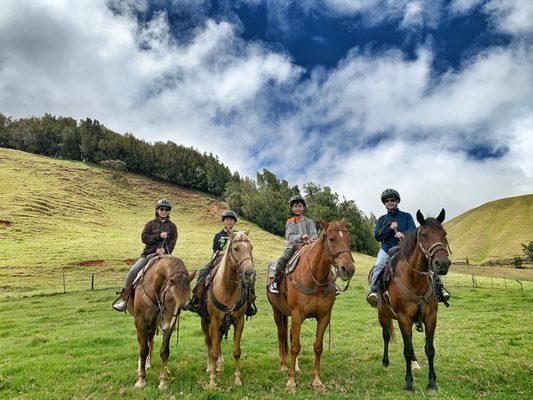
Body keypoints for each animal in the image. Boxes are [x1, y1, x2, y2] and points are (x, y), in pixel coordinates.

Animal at [125, 255, 196, 390]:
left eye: (183, 304)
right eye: (169, 298)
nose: (166, 328)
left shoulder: (169, 324)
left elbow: (164, 351)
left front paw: (163, 381)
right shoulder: (141, 321)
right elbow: (143, 349)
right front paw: (141, 380)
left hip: (153, 325)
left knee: (150, 339)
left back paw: (147, 363)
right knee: (142, 343)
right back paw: (141, 366)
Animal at [201, 231, 256, 388]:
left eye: (251, 247)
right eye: (236, 248)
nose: (250, 273)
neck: (228, 288)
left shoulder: (239, 322)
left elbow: (236, 351)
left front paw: (237, 379)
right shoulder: (214, 322)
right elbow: (213, 351)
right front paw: (212, 382)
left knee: (218, 341)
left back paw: (219, 365)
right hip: (205, 322)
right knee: (209, 342)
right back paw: (210, 366)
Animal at [264, 220, 354, 392]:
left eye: (348, 239)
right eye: (332, 239)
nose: (348, 269)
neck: (315, 278)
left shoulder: (324, 316)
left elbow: (318, 347)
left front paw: (317, 381)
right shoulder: (297, 314)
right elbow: (294, 347)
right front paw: (291, 382)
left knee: (289, 336)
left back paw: (296, 367)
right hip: (276, 311)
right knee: (281, 335)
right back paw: (284, 366)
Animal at [372, 209, 450, 394]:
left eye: (444, 234)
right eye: (424, 234)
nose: (442, 264)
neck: (415, 280)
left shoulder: (431, 317)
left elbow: (429, 350)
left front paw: (432, 382)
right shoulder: (403, 318)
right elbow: (406, 350)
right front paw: (408, 383)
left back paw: (415, 363)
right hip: (383, 315)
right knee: (386, 335)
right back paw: (385, 361)